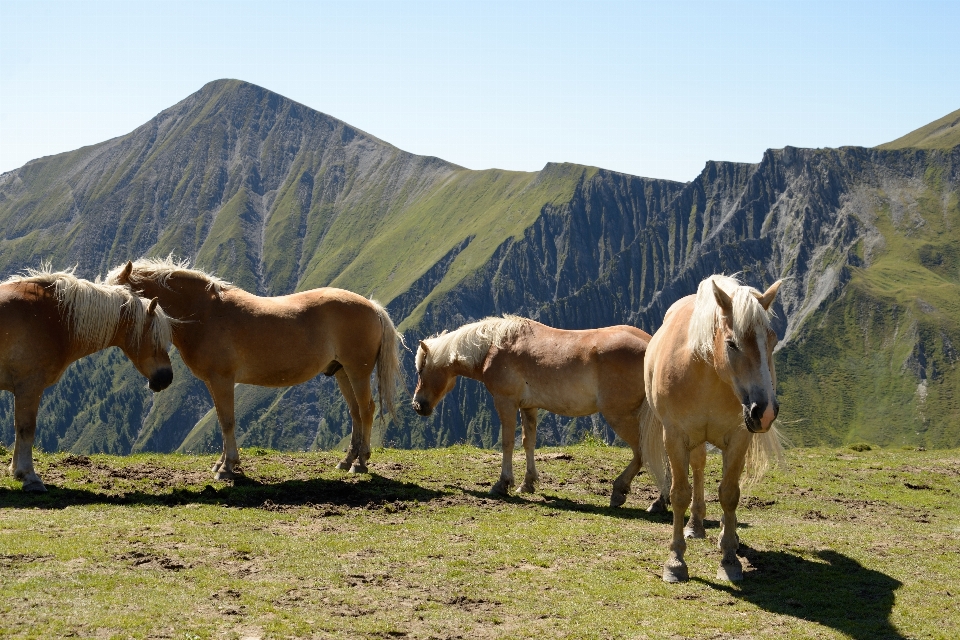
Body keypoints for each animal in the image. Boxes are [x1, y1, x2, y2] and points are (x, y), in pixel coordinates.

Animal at [1, 264, 173, 490]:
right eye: (155, 338)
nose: (167, 377)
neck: (52, 319)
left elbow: (19, 430)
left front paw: (17, 472)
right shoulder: (29, 387)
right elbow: (25, 429)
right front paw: (29, 476)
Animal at [106, 258, 404, 478]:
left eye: (122, 298)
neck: (205, 313)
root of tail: (372, 306)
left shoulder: (222, 379)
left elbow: (228, 421)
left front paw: (228, 467)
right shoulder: (212, 382)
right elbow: (222, 419)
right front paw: (222, 463)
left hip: (357, 371)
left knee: (366, 410)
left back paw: (360, 463)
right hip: (342, 372)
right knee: (355, 413)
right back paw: (347, 460)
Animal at [412, 316, 668, 510]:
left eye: (421, 369)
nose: (418, 405)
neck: (494, 347)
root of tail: (650, 345)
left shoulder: (505, 402)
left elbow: (507, 442)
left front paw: (502, 484)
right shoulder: (528, 407)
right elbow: (528, 442)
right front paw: (528, 483)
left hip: (620, 416)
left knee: (643, 451)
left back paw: (626, 492)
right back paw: (656, 500)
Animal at [640, 272, 784, 584]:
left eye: (773, 341)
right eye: (732, 344)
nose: (765, 411)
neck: (706, 374)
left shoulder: (740, 438)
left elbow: (730, 494)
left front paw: (729, 559)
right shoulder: (675, 437)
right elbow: (679, 494)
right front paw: (675, 562)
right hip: (693, 440)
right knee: (698, 466)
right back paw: (694, 526)